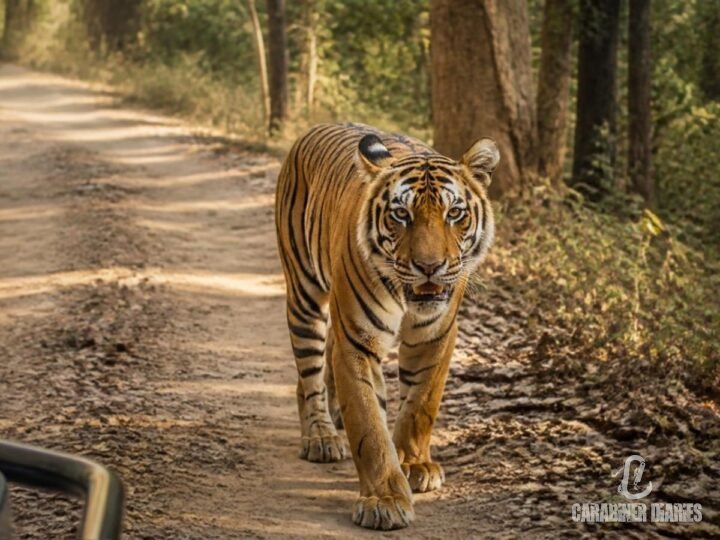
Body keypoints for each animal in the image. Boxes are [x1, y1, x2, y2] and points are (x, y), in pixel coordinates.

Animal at [275, 122, 498, 530]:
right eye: (401, 215)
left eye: (454, 213)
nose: (430, 267)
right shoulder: (358, 340)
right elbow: (369, 425)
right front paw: (385, 499)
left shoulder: (435, 336)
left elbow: (420, 405)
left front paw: (415, 464)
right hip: (304, 292)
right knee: (309, 374)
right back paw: (320, 435)